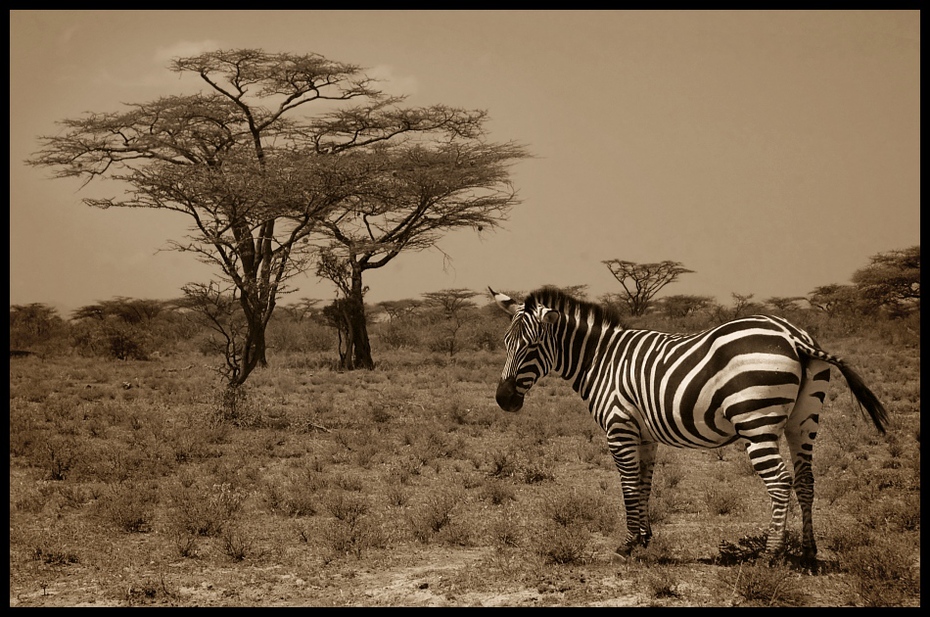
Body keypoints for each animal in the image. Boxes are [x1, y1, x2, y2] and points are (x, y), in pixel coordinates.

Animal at [486, 284, 884, 564]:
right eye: (505, 342)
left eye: (532, 346)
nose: (504, 399)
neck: (601, 360)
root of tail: (793, 335)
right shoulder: (645, 435)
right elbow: (644, 485)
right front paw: (644, 539)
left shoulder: (619, 427)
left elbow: (627, 485)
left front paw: (626, 545)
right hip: (803, 420)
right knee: (805, 480)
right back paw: (808, 552)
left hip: (756, 421)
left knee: (780, 481)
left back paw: (770, 555)